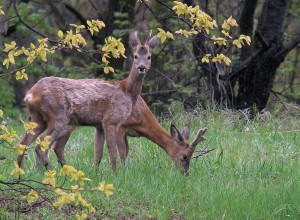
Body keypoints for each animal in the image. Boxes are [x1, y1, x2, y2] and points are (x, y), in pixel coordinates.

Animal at [18, 31, 158, 171]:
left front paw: (98, 173)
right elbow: (113, 151)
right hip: (58, 116)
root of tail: (30, 94)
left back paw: (25, 172)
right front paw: (116, 173)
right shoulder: (111, 120)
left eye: (149, 57)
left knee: (23, 143)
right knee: (41, 145)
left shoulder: (99, 125)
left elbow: (98, 153)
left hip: (38, 119)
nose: (141, 67)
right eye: (135, 56)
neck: (126, 91)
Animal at [51, 96, 206, 174]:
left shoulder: (108, 129)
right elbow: (123, 152)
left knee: (57, 146)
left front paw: (97, 173)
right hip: (68, 123)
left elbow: (100, 153)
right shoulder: (121, 127)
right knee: (56, 145)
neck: (142, 119)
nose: (185, 173)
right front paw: (123, 173)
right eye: (184, 156)